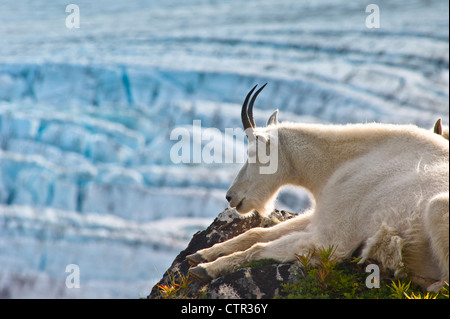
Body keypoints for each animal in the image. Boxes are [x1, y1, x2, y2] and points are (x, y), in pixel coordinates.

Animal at [187, 84, 450, 292]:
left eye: (254, 153)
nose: (230, 197)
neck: (338, 165)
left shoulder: (332, 241)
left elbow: (259, 248)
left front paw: (206, 268)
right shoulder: (323, 214)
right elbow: (258, 233)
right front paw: (201, 254)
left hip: (437, 207)